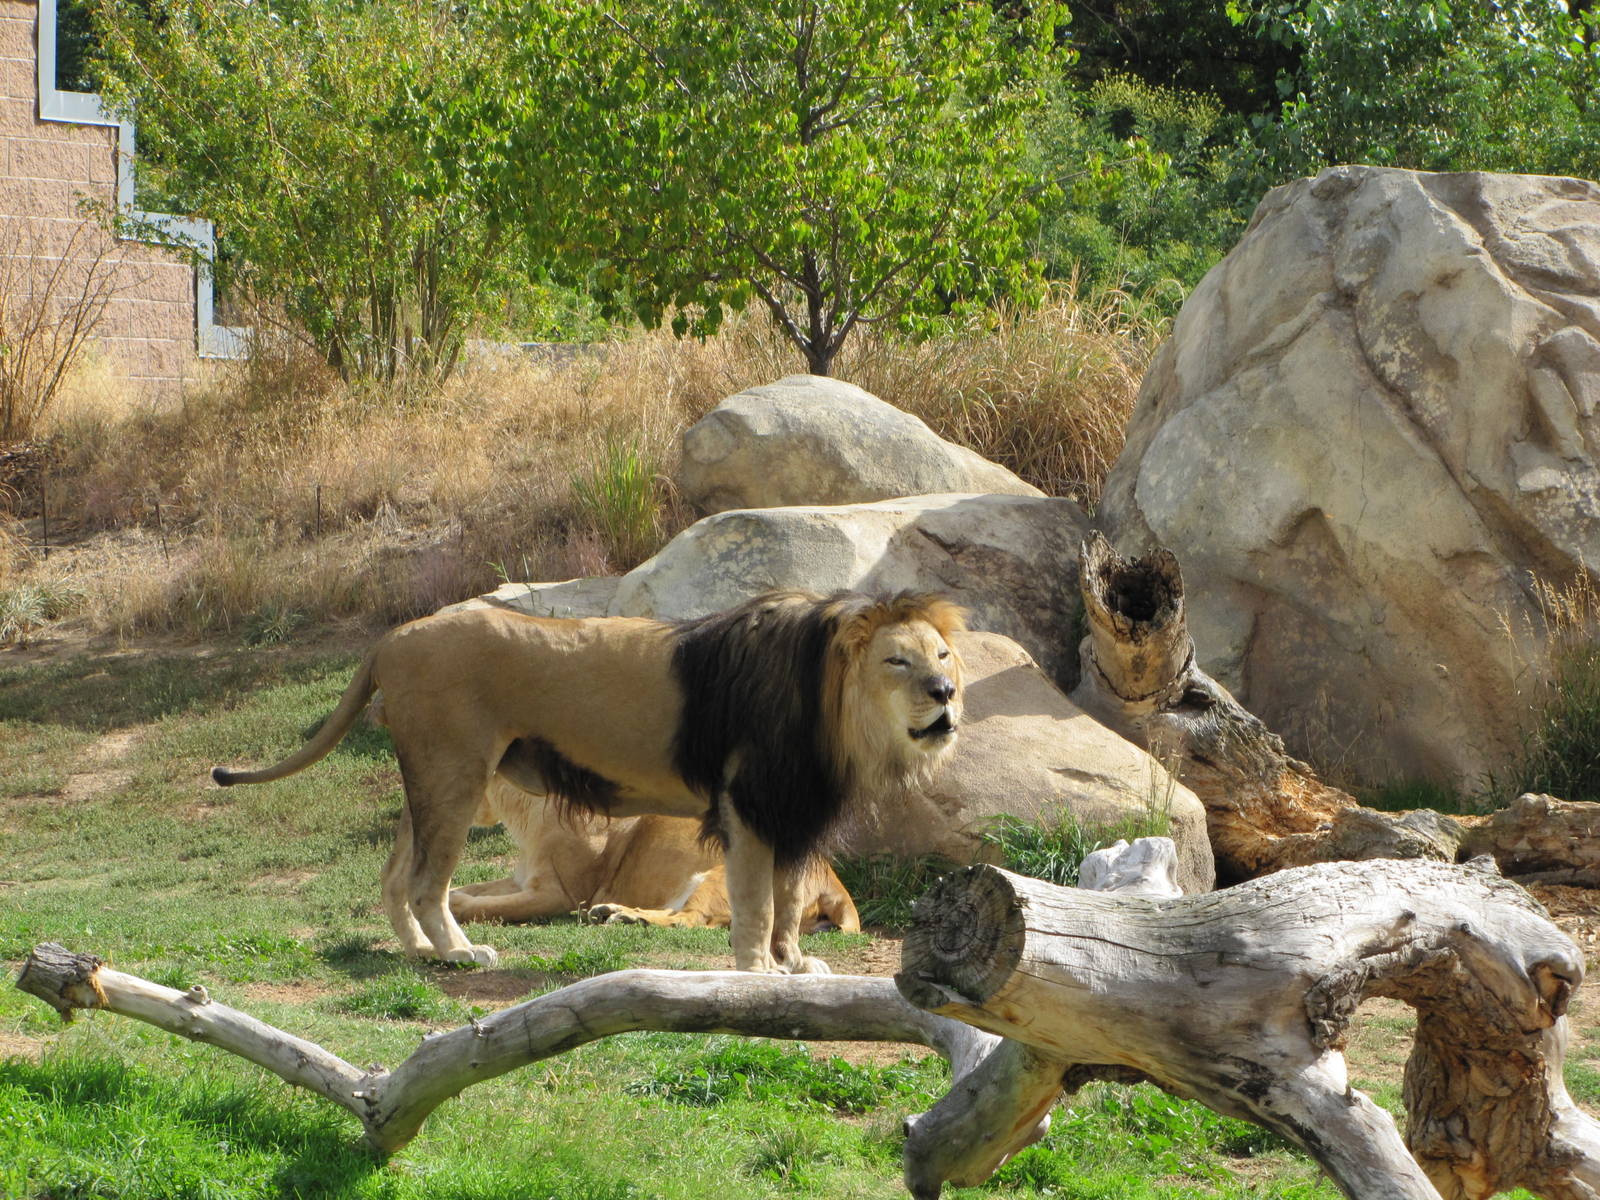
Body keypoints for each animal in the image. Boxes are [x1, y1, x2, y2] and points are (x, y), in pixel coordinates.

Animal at [449, 784, 861, 935]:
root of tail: (836, 884)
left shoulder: (558, 894)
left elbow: (489, 907)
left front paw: (456, 907)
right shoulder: (521, 880)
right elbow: (476, 890)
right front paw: (452, 896)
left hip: (721, 875)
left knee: (690, 919)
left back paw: (623, 916)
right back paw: (611, 912)